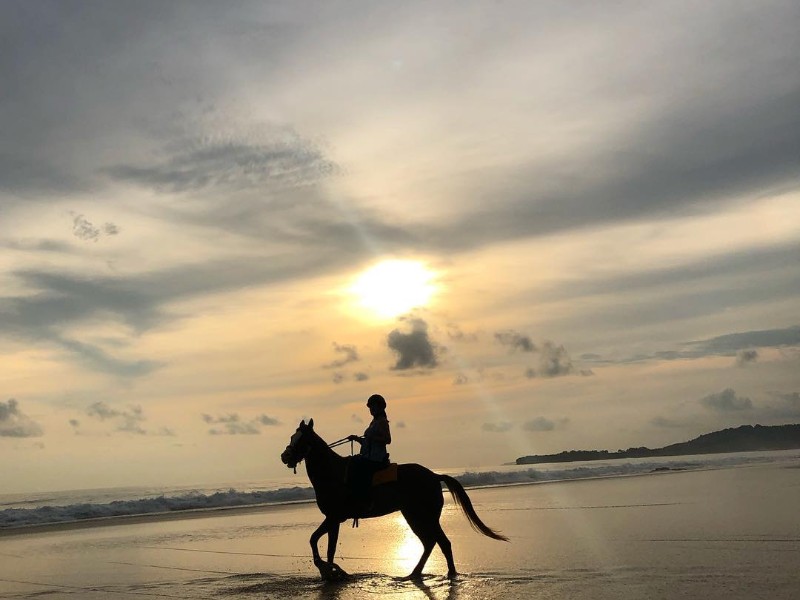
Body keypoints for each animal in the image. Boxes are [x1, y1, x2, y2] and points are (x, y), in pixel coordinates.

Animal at [282, 418, 506, 580]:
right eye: (293, 436)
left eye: (301, 439)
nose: (285, 457)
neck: (332, 474)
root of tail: (434, 476)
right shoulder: (333, 519)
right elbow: (325, 546)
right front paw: (331, 571)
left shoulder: (334, 517)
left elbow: (317, 542)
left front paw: (328, 569)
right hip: (414, 515)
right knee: (431, 543)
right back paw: (415, 573)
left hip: (424, 516)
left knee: (441, 542)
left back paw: (447, 574)